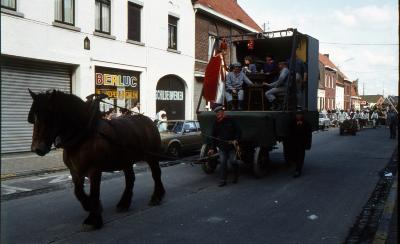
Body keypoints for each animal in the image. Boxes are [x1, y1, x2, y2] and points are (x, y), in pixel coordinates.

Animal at [28, 90, 165, 231]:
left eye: (49, 115)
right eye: (34, 117)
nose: (37, 148)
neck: (83, 135)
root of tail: (149, 121)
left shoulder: (94, 171)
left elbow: (94, 193)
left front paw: (94, 219)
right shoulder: (75, 171)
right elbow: (78, 192)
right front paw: (91, 206)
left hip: (151, 157)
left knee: (156, 174)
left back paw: (157, 196)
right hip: (126, 160)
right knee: (130, 178)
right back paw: (124, 203)